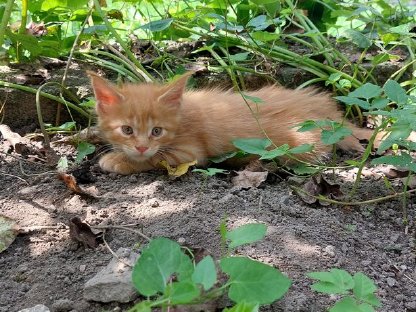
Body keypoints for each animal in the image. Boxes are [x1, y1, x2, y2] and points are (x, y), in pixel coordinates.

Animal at [89, 73, 366, 176]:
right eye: (127, 130)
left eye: (157, 131)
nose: (141, 147)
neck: (182, 113)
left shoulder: (190, 152)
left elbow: (156, 159)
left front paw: (119, 160)